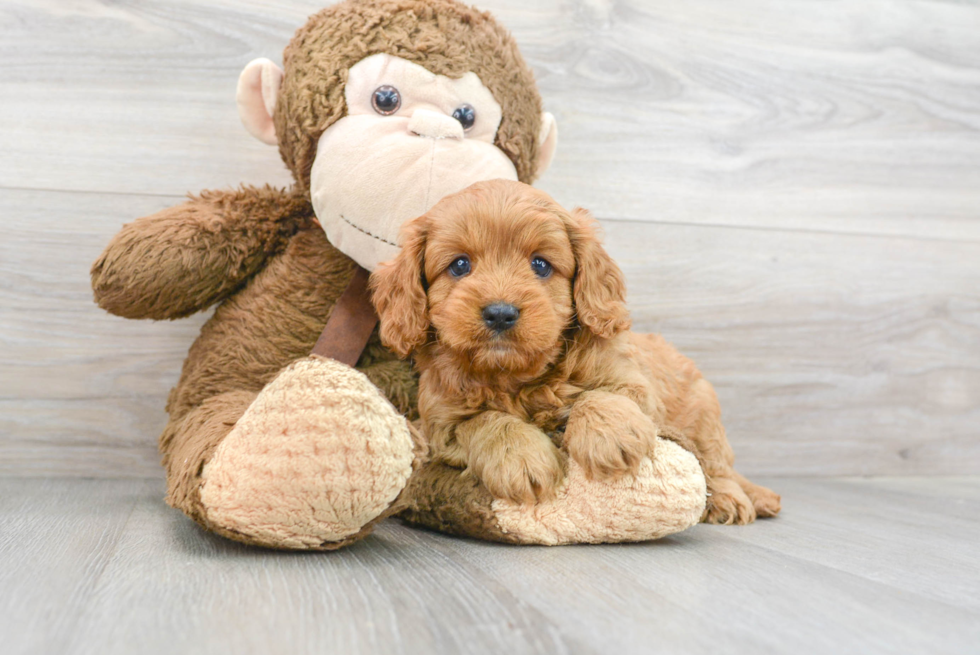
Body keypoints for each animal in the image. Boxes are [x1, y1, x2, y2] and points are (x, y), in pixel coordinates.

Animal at [372, 177, 784, 524]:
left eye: (540, 264)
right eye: (459, 265)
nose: (501, 313)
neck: (516, 376)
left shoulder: (635, 385)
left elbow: (599, 395)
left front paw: (610, 436)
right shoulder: (440, 422)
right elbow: (487, 420)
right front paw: (523, 459)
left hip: (704, 418)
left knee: (717, 467)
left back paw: (734, 499)